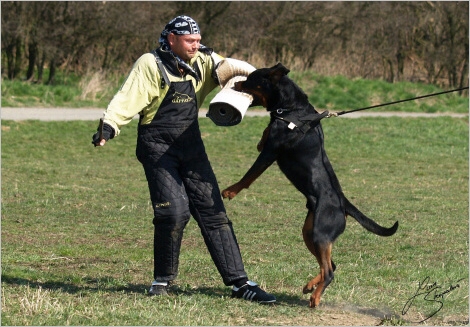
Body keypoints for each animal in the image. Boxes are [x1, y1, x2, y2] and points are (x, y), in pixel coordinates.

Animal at [222, 62, 398, 308]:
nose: (236, 83)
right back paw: (310, 286)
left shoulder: (270, 152)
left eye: (250, 80)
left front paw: (230, 191)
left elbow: (249, 175)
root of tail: (344, 204)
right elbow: (264, 136)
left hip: (320, 233)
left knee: (330, 271)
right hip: (310, 232)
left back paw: (315, 297)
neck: (291, 109)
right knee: (331, 265)